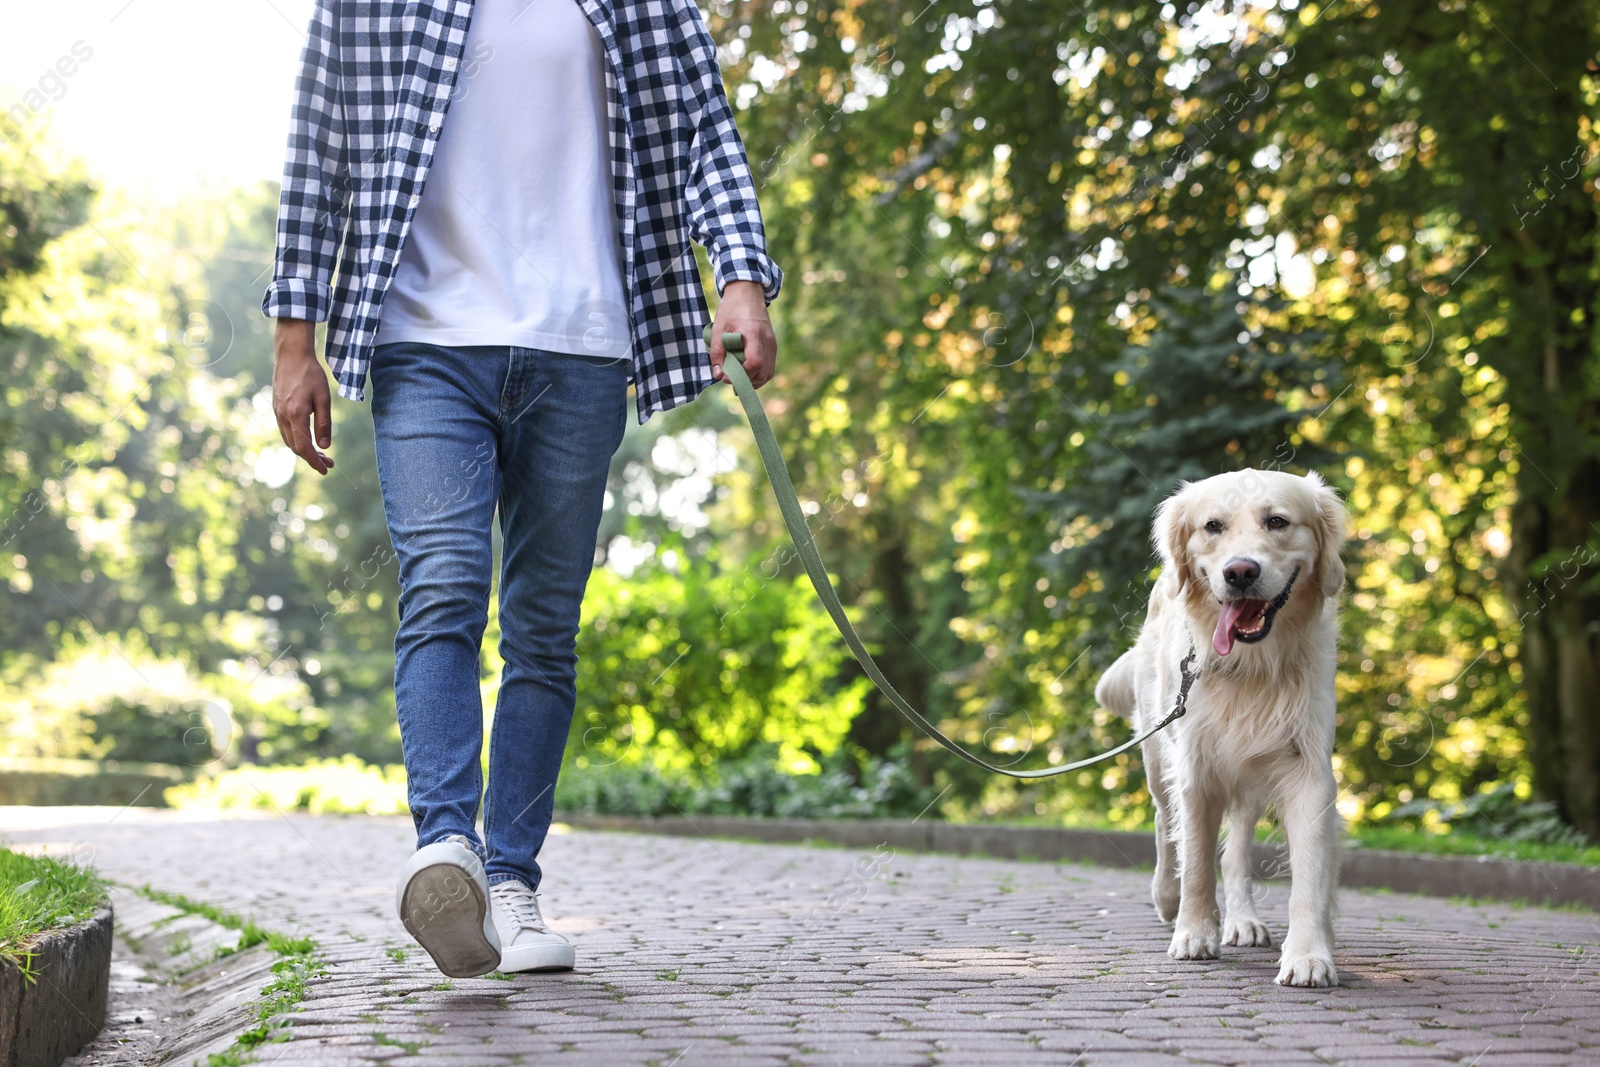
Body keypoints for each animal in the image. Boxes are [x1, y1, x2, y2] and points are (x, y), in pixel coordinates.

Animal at [1094, 470, 1344, 991]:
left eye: (1277, 521)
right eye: (1213, 526)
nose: (1240, 572)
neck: (1252, 667)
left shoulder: (1307, 769)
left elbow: (1309, 871)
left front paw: (1309, 954)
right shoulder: (1195, 766)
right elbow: (1195, 859)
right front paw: (1193, 932)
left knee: (1235, 852)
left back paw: (1243, 921)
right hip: (1157, 755)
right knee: (1164, 824)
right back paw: (1167, 897)